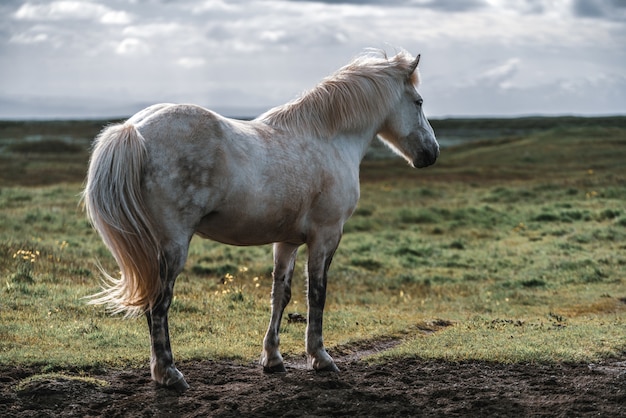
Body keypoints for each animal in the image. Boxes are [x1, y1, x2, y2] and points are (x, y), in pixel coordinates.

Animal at [81, 49, 434, 392]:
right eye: (418, 102)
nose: (431, 153)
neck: (328, 138)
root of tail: (135, 129)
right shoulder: (326, 235)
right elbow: (317, 293)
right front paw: (320, 357)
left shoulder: (288, 241)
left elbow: (281, 294)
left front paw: (273, 358)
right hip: (173, 245)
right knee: (159, 303)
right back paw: (169, 374)